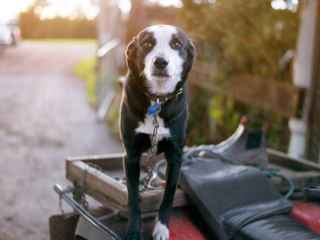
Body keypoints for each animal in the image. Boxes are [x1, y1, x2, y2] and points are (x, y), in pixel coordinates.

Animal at [120, 24, 194, 240]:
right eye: (147, 44)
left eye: (176, 44)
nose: (160, 62)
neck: (158, 100)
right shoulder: (131, 156)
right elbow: (133, 197)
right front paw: (133, 231)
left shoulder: (175, 157)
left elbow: (168, 195)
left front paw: (161, 227)